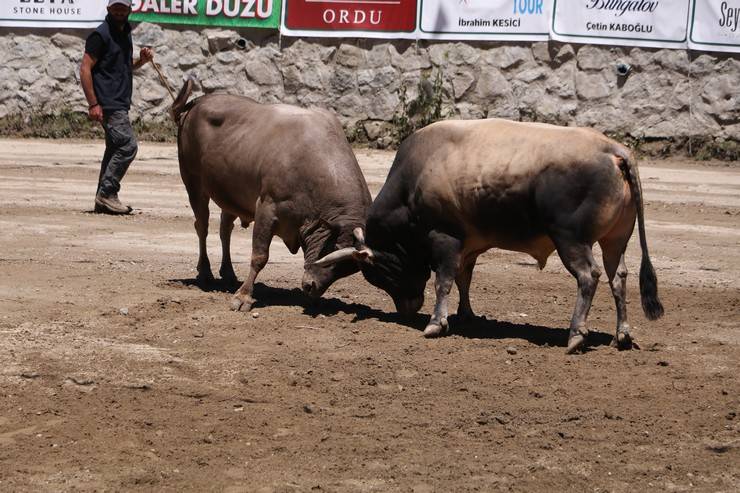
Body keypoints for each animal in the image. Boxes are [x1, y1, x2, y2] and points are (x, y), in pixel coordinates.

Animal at [172, 80, 370, 312]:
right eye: (333, 250)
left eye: (348, 269)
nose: (312, 287)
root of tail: (198, 102)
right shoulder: (267, 208)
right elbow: (260, 256)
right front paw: (243, 296)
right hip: (193, 182)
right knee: (202, 226)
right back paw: (205, 272)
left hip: (229, 194)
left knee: (225, 229)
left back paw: (228, 273)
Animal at [318, 117, 664, 352]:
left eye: (378, 274)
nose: (408, 309)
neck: (416, 175)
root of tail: (612, 150)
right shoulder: (469, 245)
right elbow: (463, 279)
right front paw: (465, 314)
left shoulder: (444, 238)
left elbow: (443, 280)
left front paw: (435, 323)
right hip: (615, 240)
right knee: (618, 277)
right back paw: (622, 334)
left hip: (571, 239)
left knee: (588, 276)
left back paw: (576, 333)